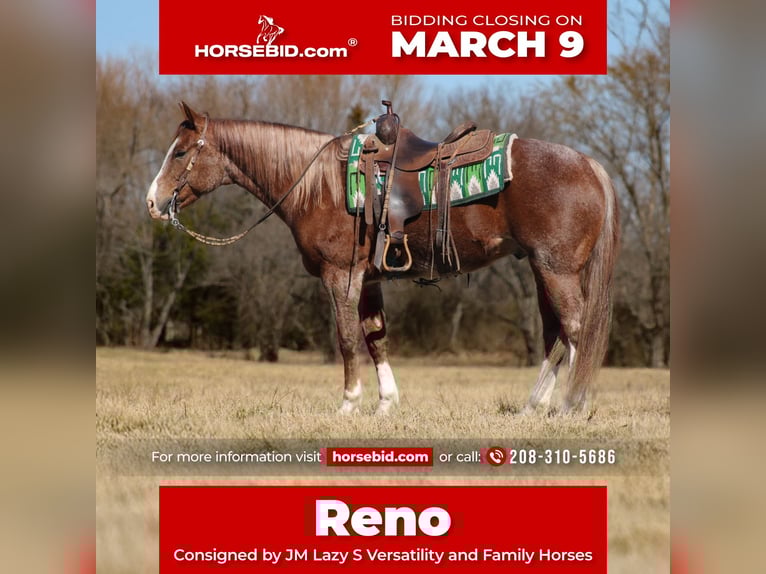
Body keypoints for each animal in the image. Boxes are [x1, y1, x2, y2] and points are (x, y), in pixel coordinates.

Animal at [146, 102, 619, 416]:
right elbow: (376, 339)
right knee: (556, 334)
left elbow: (346, 339)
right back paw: (533, 406)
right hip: (541, 270)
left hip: (556, 270)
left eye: (181, 152)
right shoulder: (369, 279)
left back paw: (571, 406)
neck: (318, 183)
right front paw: (385, 404)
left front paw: (348, 404)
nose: (152, 202)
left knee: (576, 329)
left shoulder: (341, 275)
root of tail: (589, 164)